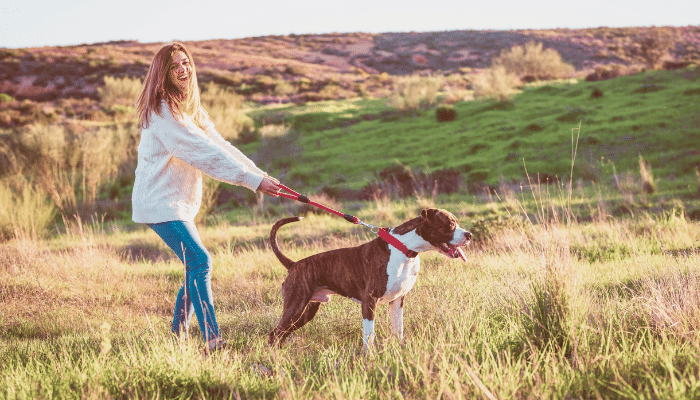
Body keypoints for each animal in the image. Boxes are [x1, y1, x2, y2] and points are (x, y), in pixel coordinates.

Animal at [266, 208, 470, 348]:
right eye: (450, 224)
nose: (469, 234)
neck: (404, 248)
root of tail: (294, 265)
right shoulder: (369, 300)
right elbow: (369, 334)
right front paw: (369, 357)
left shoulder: (397, 301)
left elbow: (398, 329)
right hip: (295, 306)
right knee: (274, 335)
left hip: (306, 311)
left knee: (281, 335)